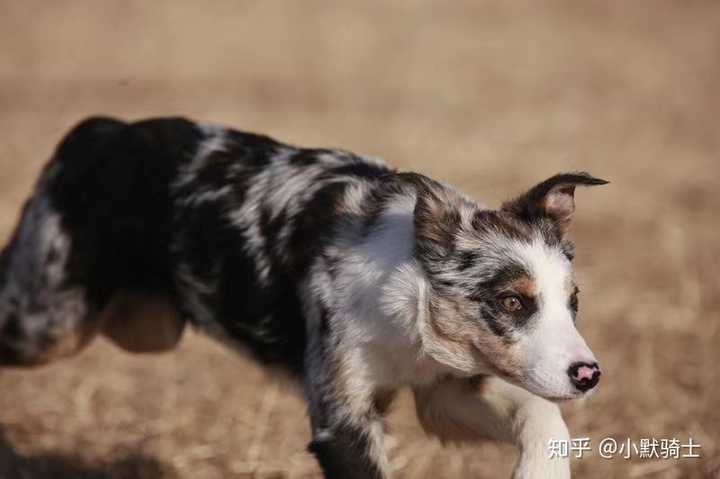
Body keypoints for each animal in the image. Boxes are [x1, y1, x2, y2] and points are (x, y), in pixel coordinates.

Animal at [0, 117, 608, 479]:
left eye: (573, 301)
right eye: (511, 302)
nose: (589, 375)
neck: (402, 290)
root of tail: (100, 130)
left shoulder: (444, 390)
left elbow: (542, 417)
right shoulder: (343, 422)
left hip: (141, 330)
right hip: (49, 322)